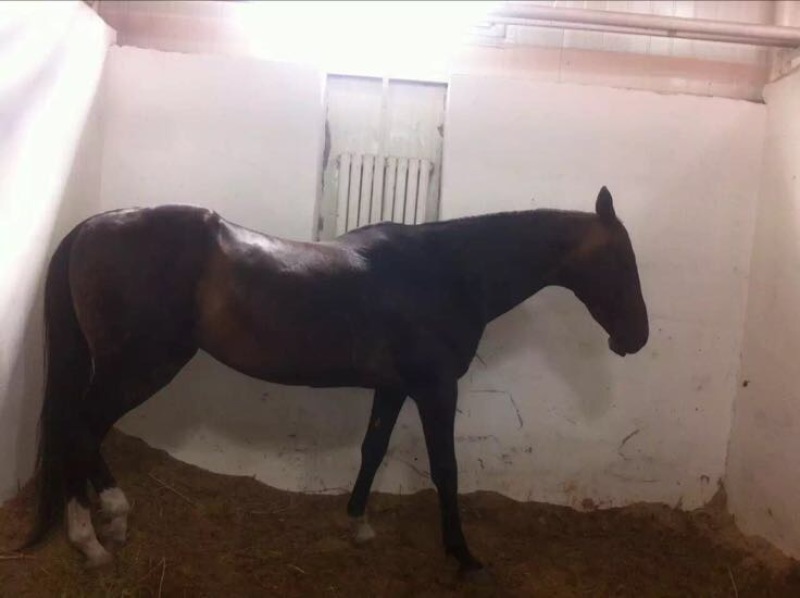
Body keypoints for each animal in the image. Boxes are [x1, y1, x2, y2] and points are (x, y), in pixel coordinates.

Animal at [23, 186, 648, 578]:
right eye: (621, 262)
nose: (637, 338)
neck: (446, 272)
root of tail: (92, 226)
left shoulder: (394, 387)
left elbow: (373, 449)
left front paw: (359, 526)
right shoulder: (436, 389)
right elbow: (445, 470)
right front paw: (464, 556)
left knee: (81, 430)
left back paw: (107, 524)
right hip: (141, 365)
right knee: (79, 427)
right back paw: (94, 534)